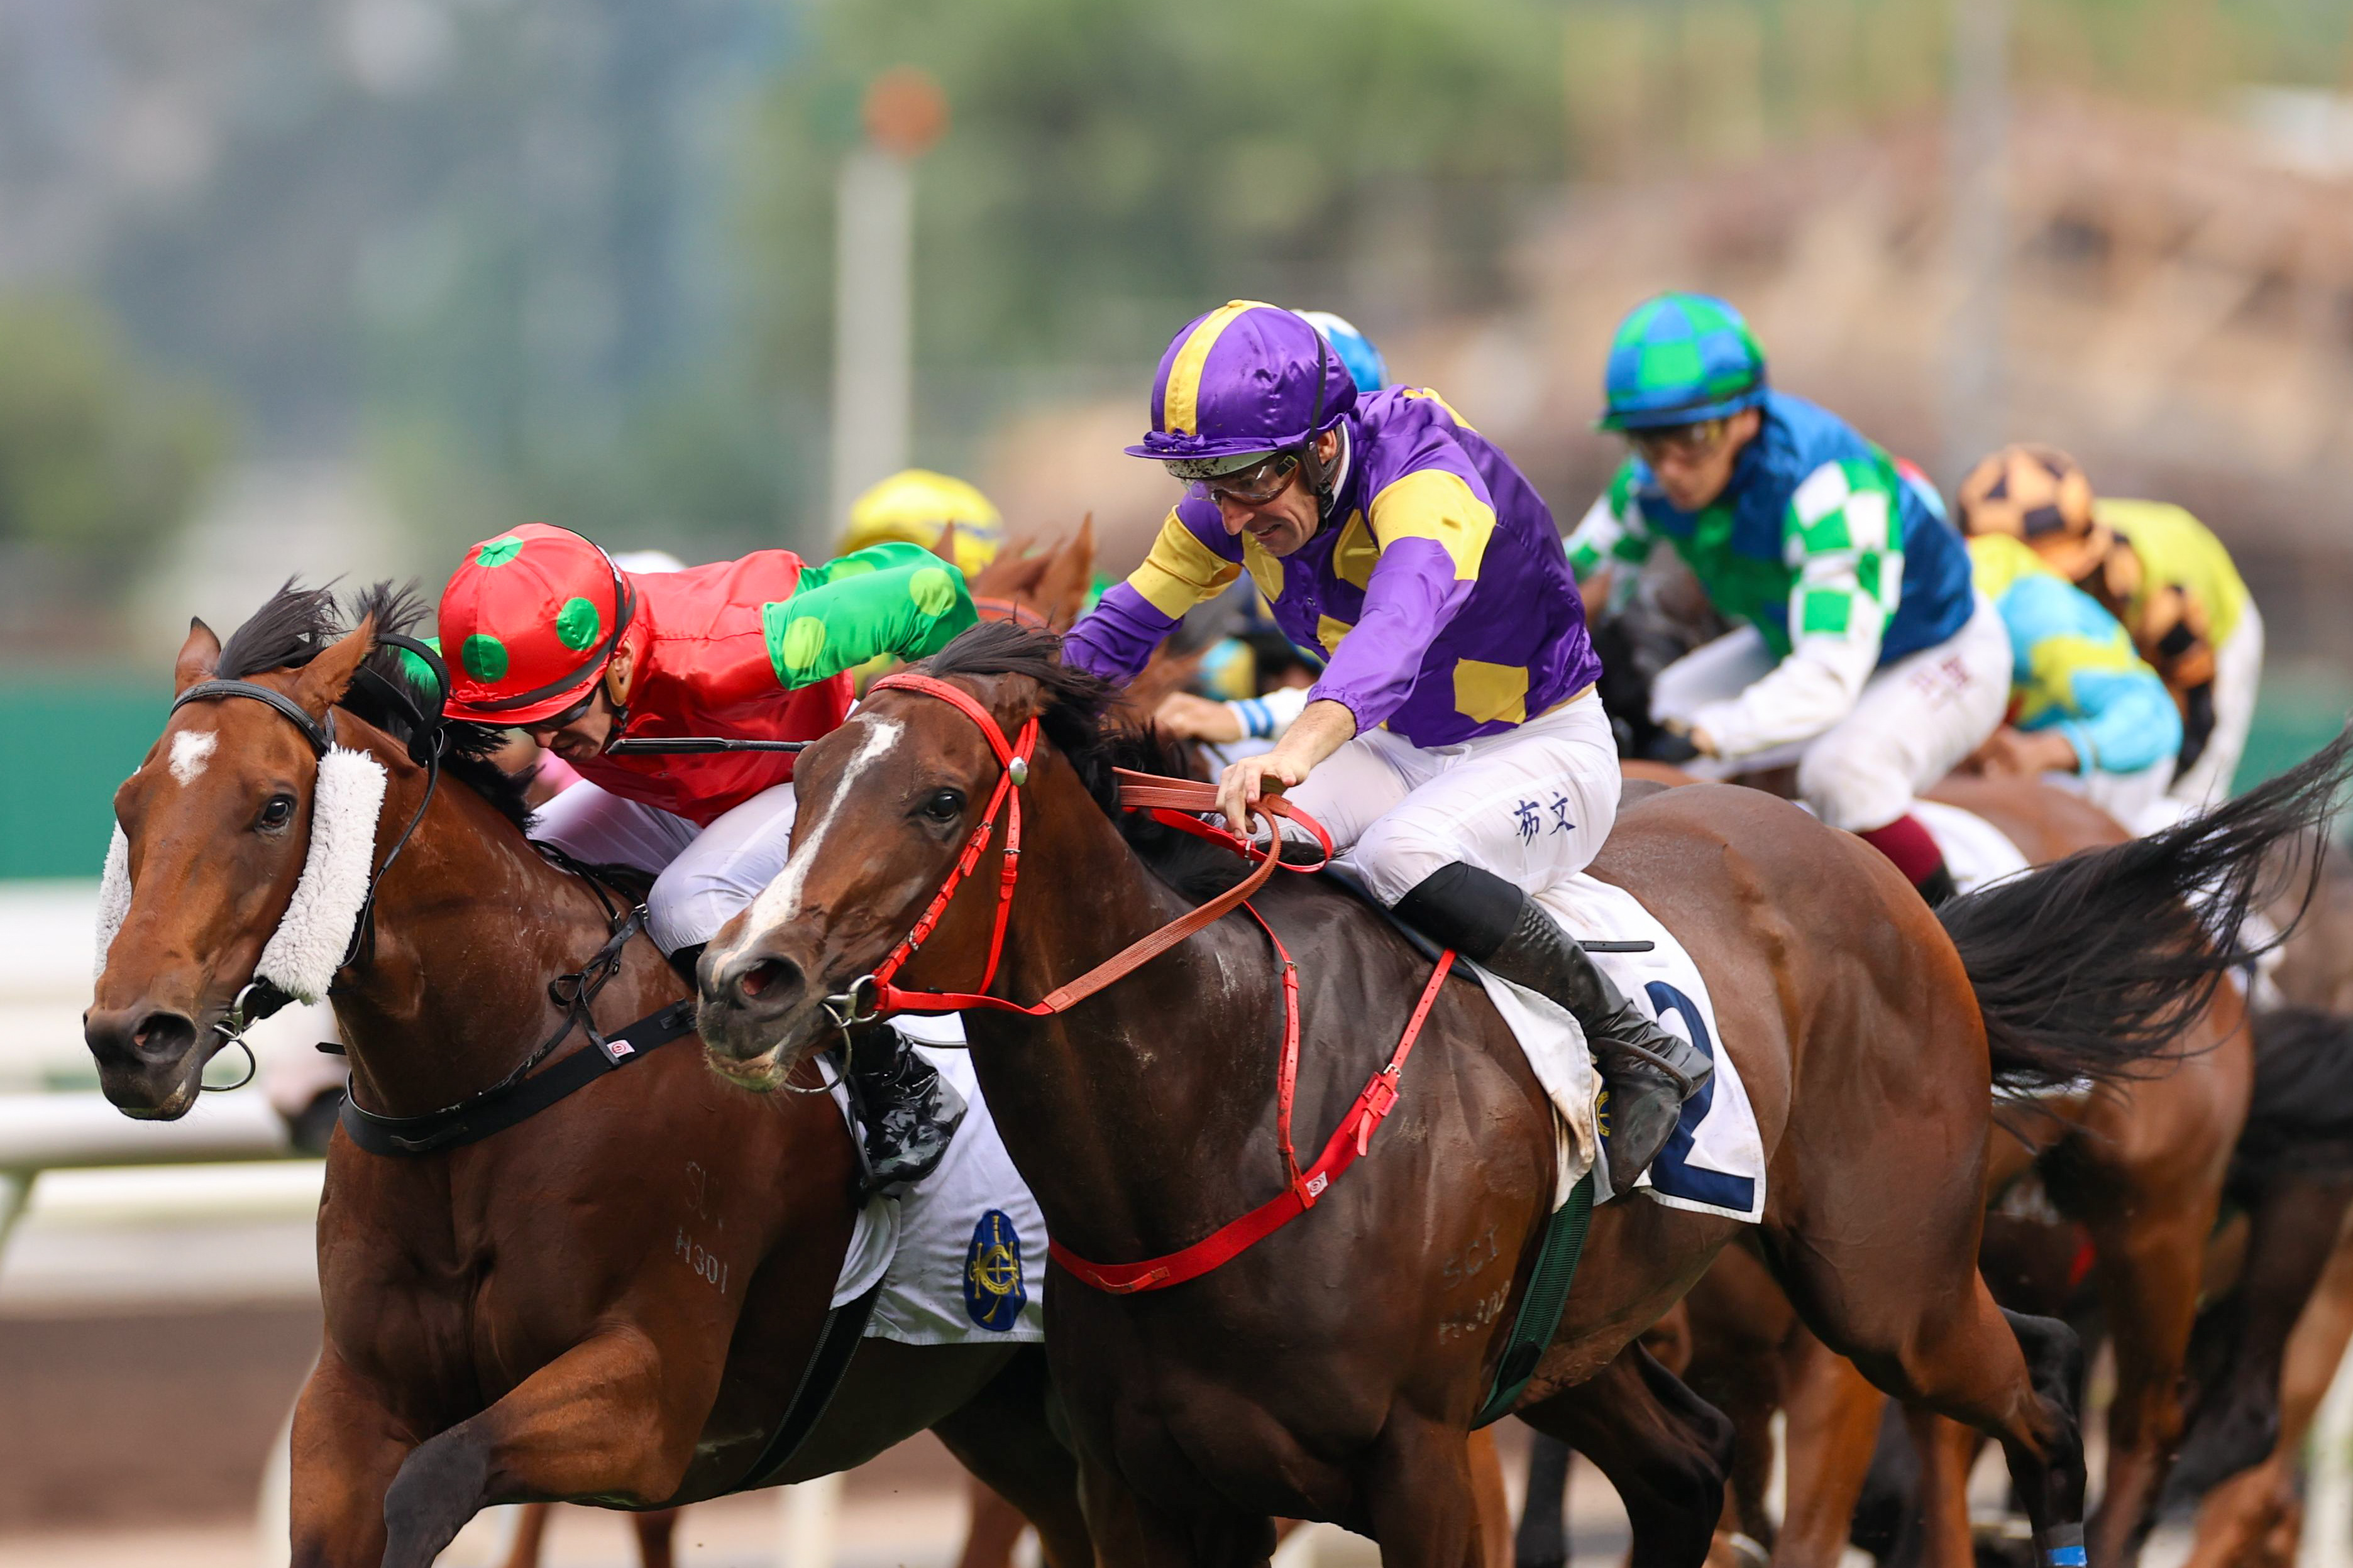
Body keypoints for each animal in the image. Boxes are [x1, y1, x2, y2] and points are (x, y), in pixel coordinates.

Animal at [83, 585, 1090, 1568]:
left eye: (275, 805)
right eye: (129, 806)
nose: (132, 1036)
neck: (486, 1076)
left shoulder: (649, 1396)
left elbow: (437, 1479)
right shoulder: (354, 1397)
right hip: (1005, 1416)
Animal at [693, 620, 2342, 1568]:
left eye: (937, 800)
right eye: (798, 781)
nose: (743, 976)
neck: (1219, 1112)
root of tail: (1906, 902)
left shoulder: (1426, 1467)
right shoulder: (1145, 1488)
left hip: (1891, 1282)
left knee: (2055, 1397)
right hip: (1587, 1334)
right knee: (1690, 1471)